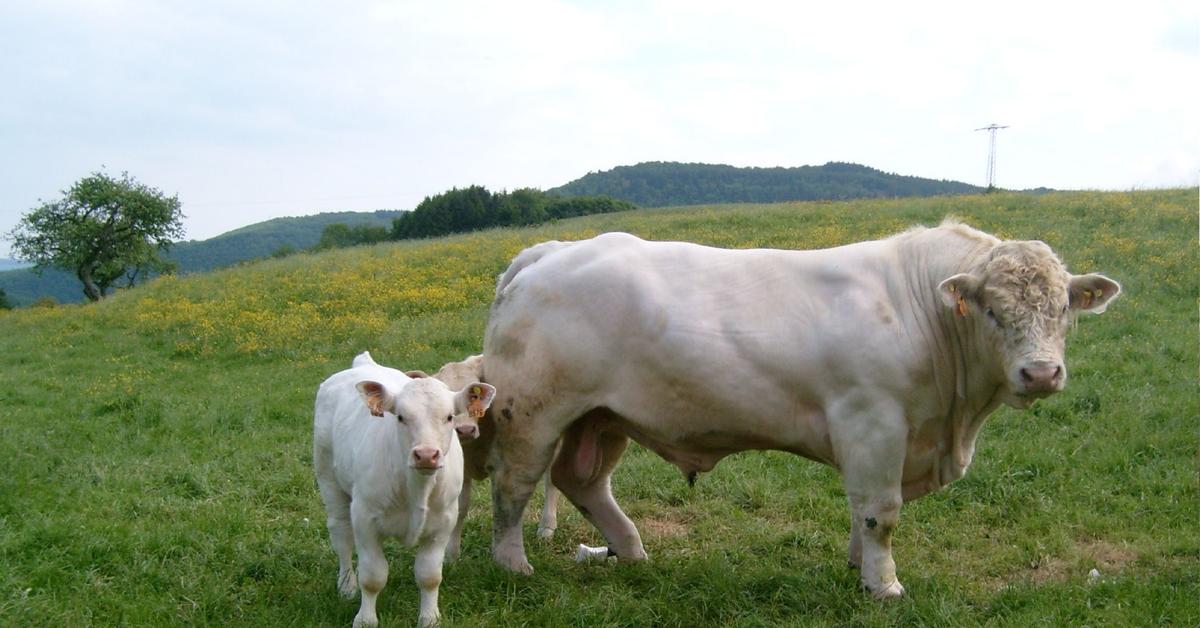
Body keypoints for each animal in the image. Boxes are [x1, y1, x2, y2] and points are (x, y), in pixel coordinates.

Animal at [314, 353, 496, 628]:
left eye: (449, 417)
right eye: (400, 417)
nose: (426, 455)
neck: (417, 488)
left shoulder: (443, 524)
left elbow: (429, 576)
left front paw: (429, 618)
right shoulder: (364, 519)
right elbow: (373, 576)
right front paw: (365, 619)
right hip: (328, 479)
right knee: (341, 534)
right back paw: (346, 586)